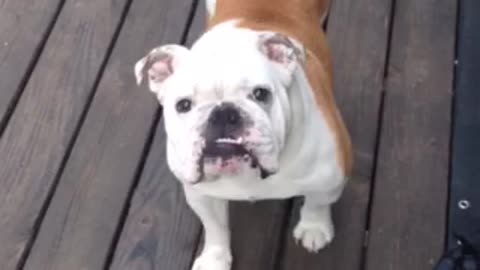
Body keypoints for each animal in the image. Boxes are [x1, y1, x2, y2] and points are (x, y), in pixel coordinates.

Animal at [135, 0, 352, 268]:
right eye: (183, 105)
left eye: (261, 94)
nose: (222, 113)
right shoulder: (202, 195)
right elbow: (215, 227)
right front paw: (215, 259)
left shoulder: (330, 179)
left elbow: (318, 202)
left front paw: (314, 228)